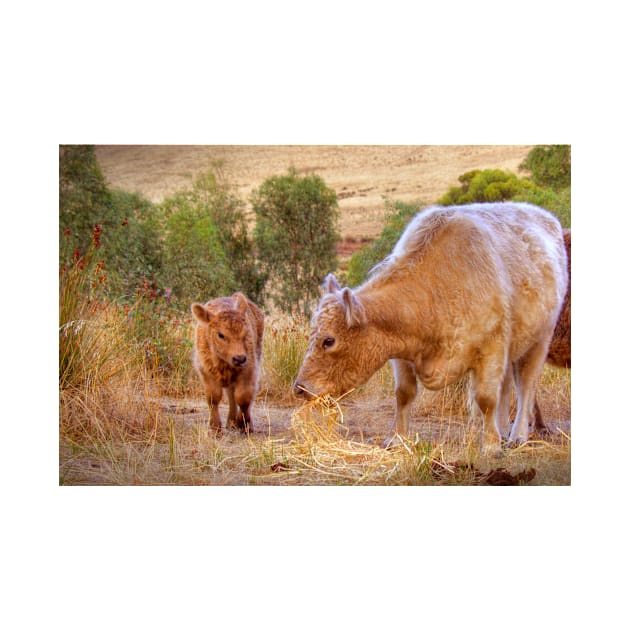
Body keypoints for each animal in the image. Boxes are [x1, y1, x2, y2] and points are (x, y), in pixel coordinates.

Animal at [191, 294, 262, 436]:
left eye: (246, 333)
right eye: (221, 334)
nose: (240, 358)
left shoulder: (249, 371)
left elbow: (243, 398)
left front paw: (244, 425)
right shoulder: (205, 372)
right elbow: (213, 398)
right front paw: (215, 429)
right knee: (230, 395)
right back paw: (230, 422)